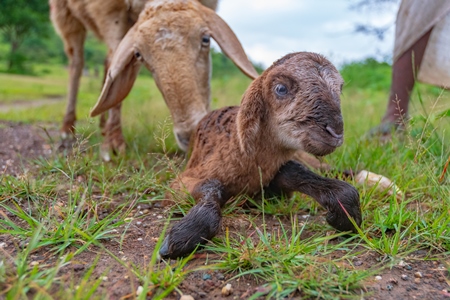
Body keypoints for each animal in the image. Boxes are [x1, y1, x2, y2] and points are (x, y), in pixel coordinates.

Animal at [48, 0, 256, 161]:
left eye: (206, 39)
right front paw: (113, 144)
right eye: (139, 55)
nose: (189, 135)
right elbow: (116, 53)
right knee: (77, 62)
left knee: (107, 64)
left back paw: (101, 125)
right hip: (65, 14)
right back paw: (68, 127)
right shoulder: (107, 11)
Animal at [158, 51, 362, 258]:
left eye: (340, 88)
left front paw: (344, 213)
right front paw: (184, 235)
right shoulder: (179, 184)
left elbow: (294, 172)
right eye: (281, 88)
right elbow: (212, 185)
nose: (336, 131)